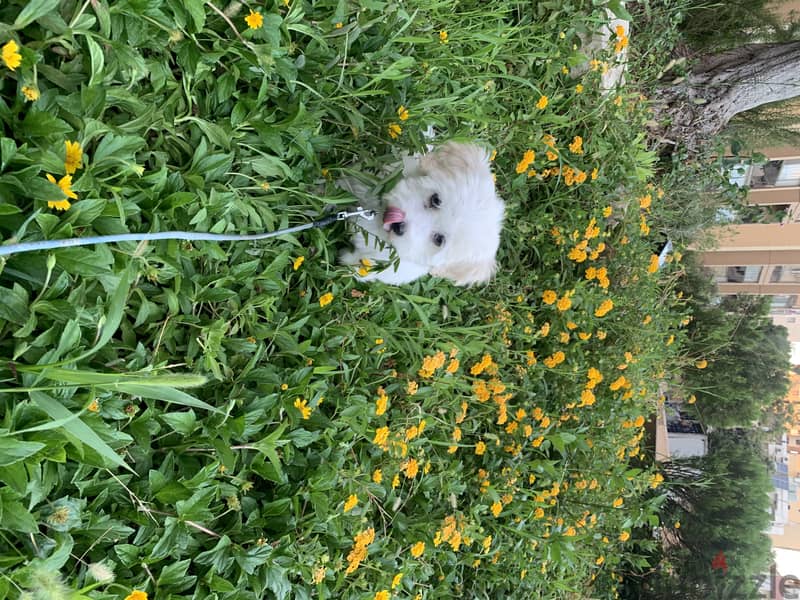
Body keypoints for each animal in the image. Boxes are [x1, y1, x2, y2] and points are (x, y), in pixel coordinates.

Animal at [340, 143, 504, 288]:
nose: (399, 225)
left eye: (439, 239)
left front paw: (346, 264)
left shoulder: (384, 266)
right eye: (436, 200)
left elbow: (363, 267)